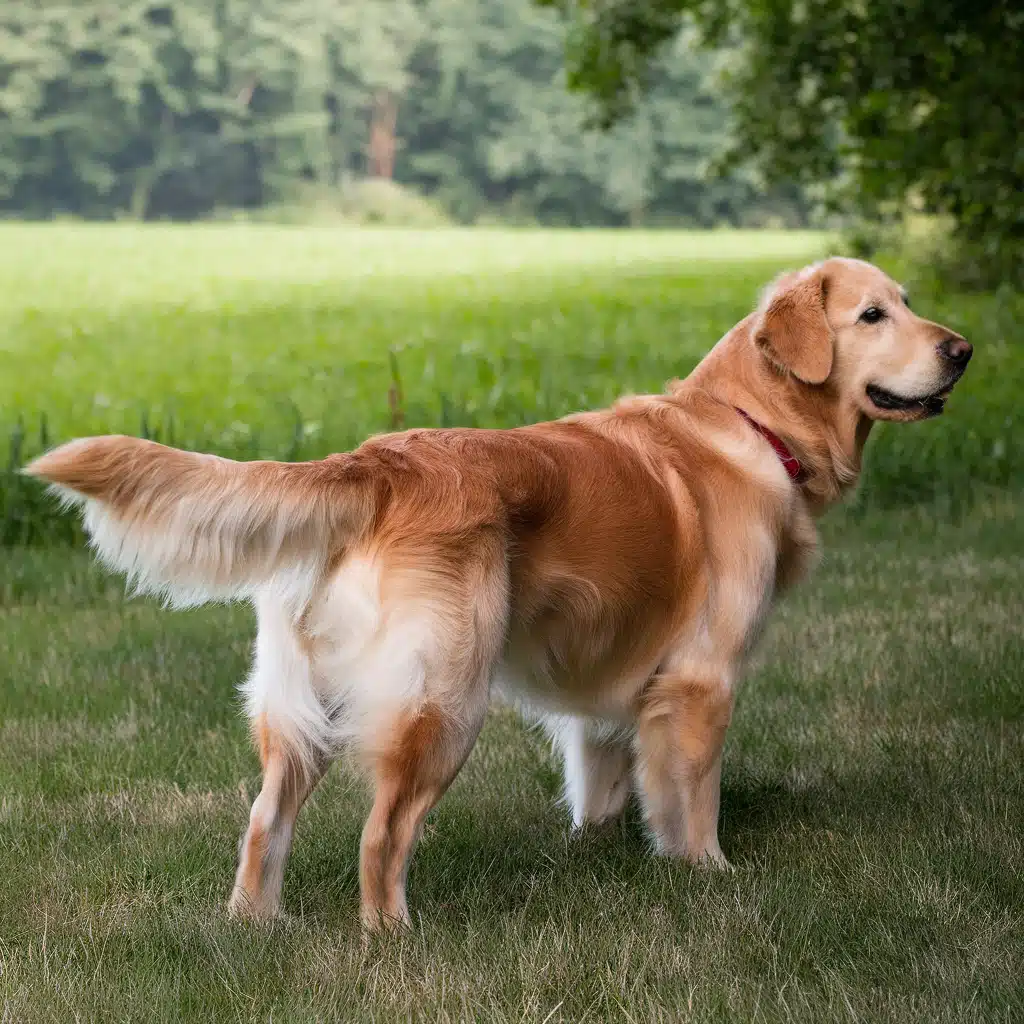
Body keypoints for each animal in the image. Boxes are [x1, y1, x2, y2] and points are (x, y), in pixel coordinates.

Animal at [24, 253, 966, 929]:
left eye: (907, 301)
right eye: (872, 315)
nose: (961, 351)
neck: (752, 422)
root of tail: (371, 462)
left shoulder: (607, 691)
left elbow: (601, 784)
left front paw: (598, 856)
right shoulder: (702, 680)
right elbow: (690, 800)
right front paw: (709, 876)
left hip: (300, 709)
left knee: (264, 823)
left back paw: (257, 928)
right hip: (445, 697)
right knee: (382, 835)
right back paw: (393, 938)